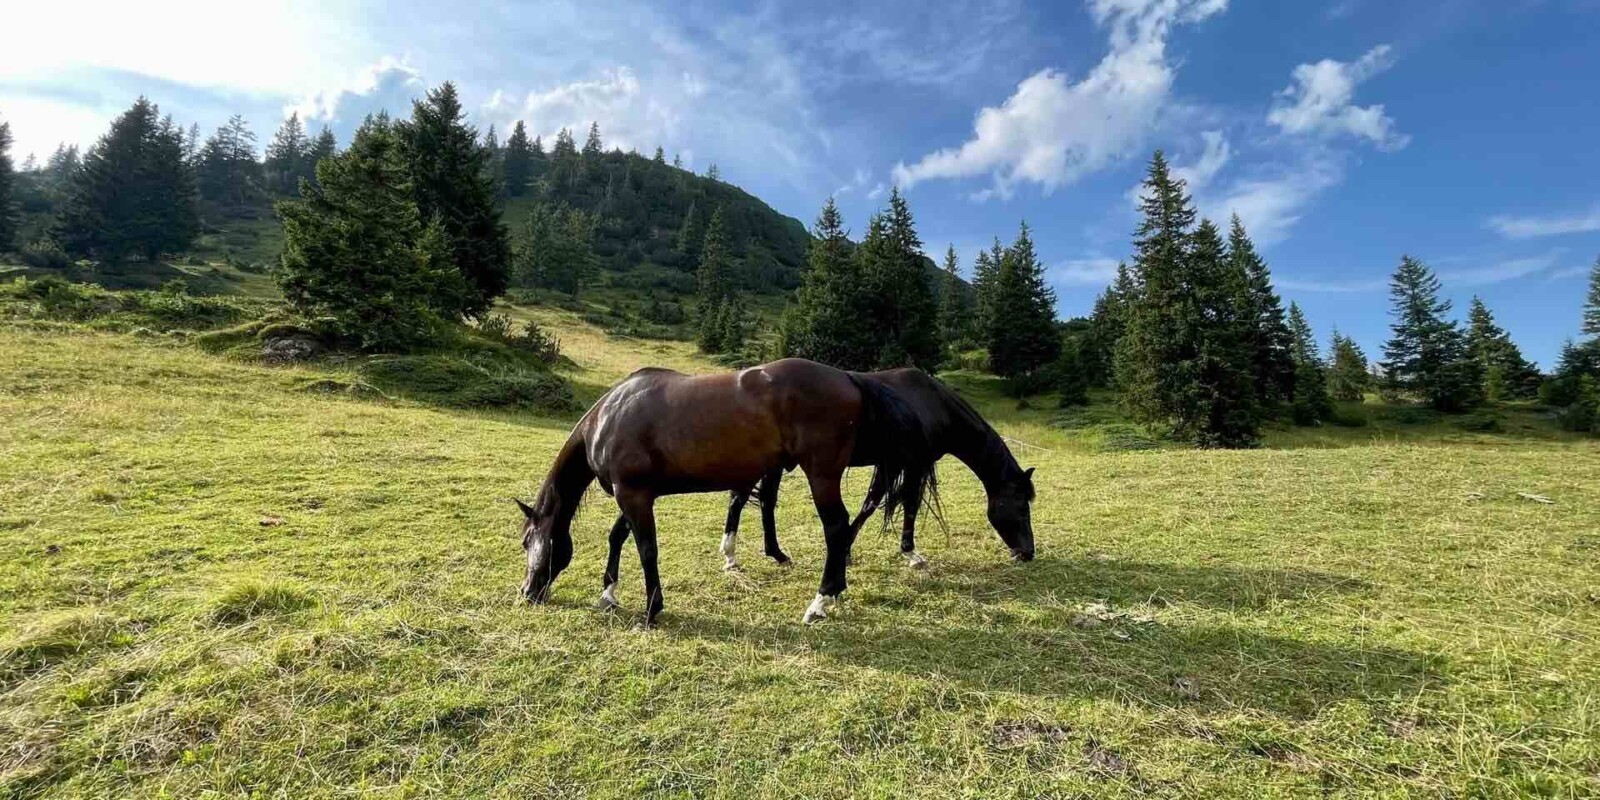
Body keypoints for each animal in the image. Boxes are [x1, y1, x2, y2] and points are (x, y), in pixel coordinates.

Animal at [715, 367, 1038, 572]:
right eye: (1022, 507)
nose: (1028, 553)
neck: (931, 404)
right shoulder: (914, 464)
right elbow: (908, 505)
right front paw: (911, 554)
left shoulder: (890, 463)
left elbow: (871, 503)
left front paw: (845, 549)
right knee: (747, 500)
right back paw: (734, 556)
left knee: (759, 501)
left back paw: (767, 554)